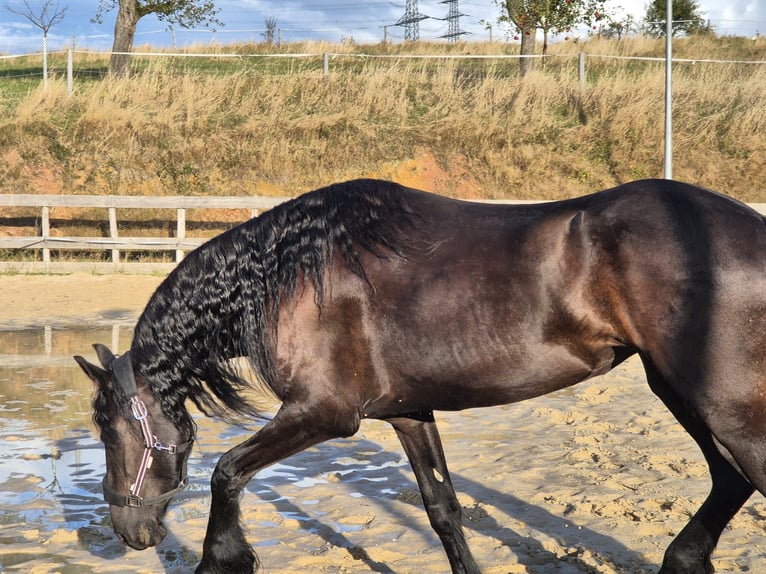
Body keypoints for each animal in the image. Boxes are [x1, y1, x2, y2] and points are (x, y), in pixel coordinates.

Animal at [75, 178, 766, 572]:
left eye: (109, 431)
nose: (127, 531)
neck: (290, 277)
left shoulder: (326, 414)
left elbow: (226, 472)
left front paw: (225, 557)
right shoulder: (407, 413)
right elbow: (444, 511)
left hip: (722, 402)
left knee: (741, 475)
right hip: (681, 391)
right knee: (729, 480)